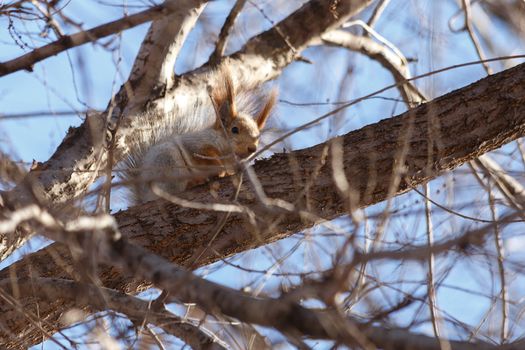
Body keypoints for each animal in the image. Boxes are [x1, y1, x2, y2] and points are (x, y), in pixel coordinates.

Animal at [121, 68, 276, 204]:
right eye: (234, 129)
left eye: (258, 135)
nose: (252, 148)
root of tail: (146, 196)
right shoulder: (196, 144)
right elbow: (203, 156)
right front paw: (219, 168)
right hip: (169, 164)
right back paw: (194, 182)